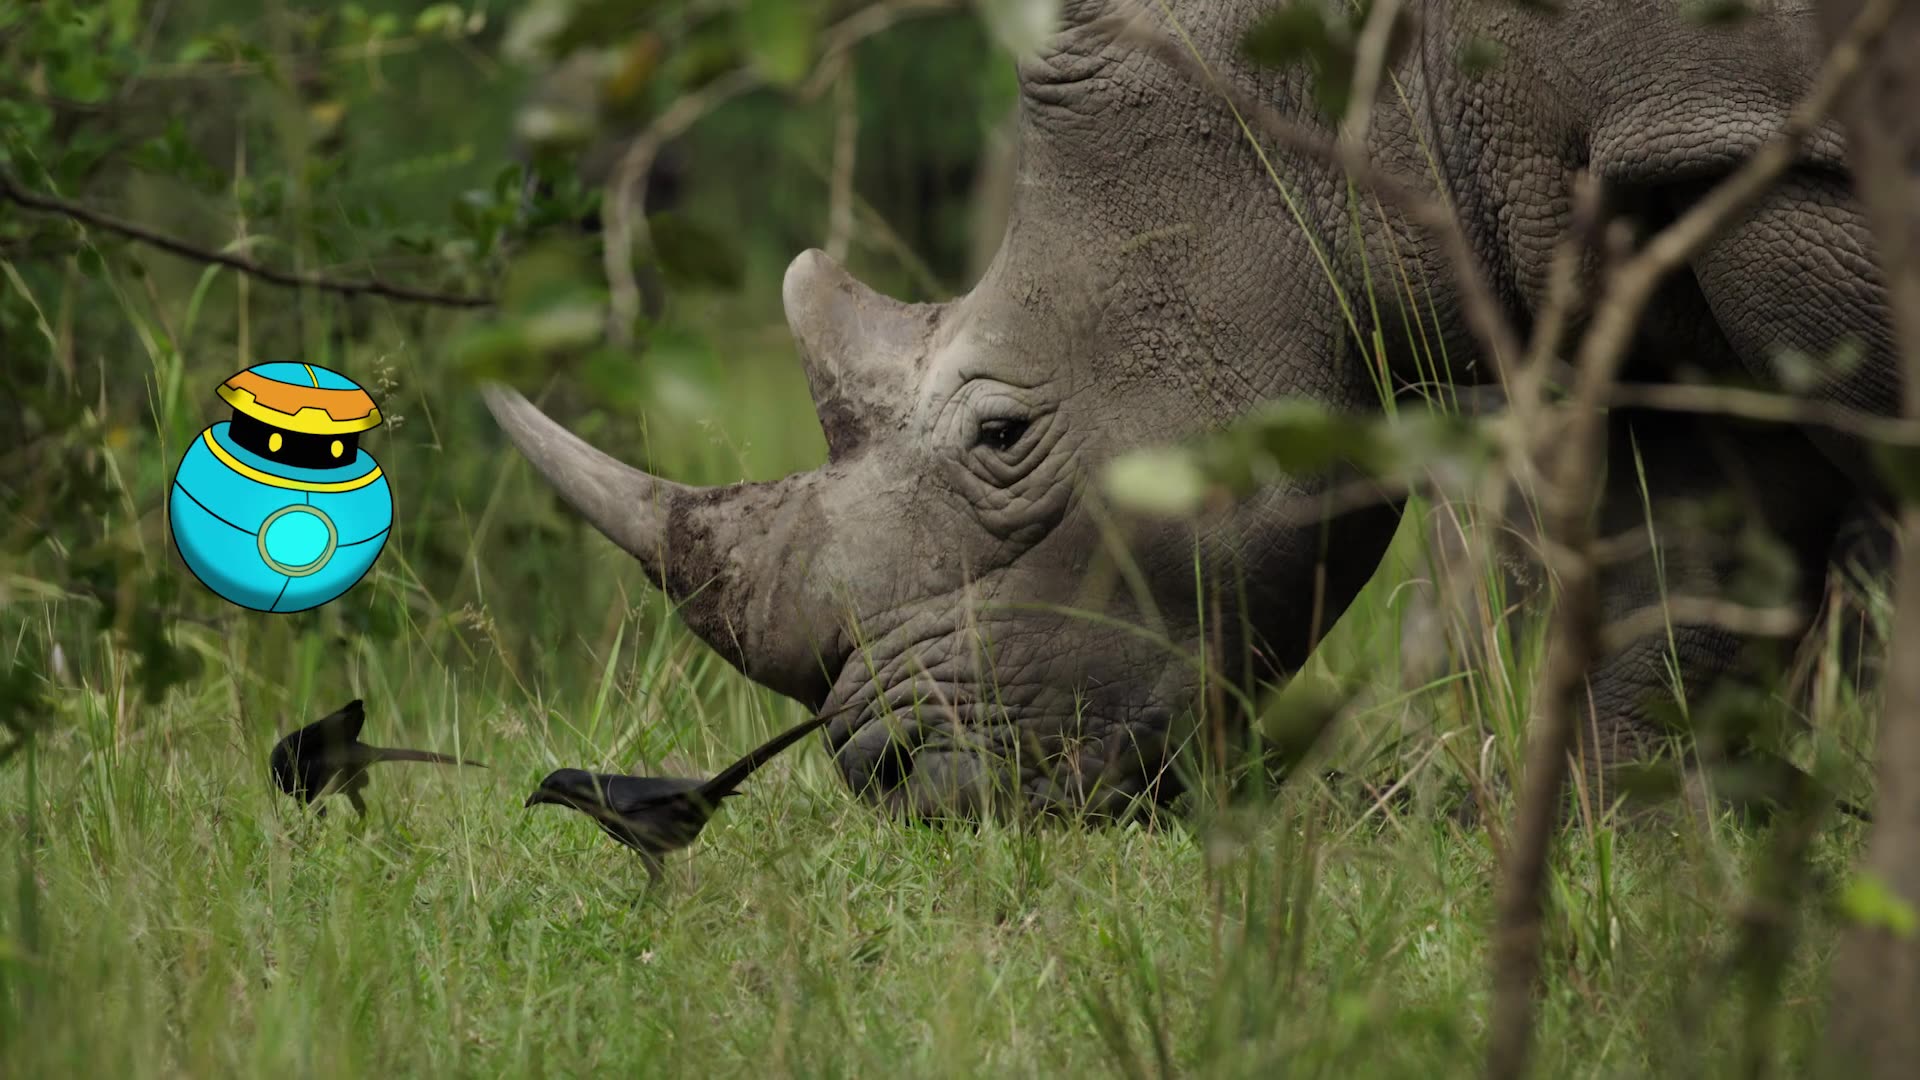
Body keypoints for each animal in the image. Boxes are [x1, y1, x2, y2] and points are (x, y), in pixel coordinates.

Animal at [485, 0, 1897, 818]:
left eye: (1001, 436)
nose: (887, 781)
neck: (1358, 80)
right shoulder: (1649, 200)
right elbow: (1681, 571)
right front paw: (1647, 861)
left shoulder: (1782, 145)